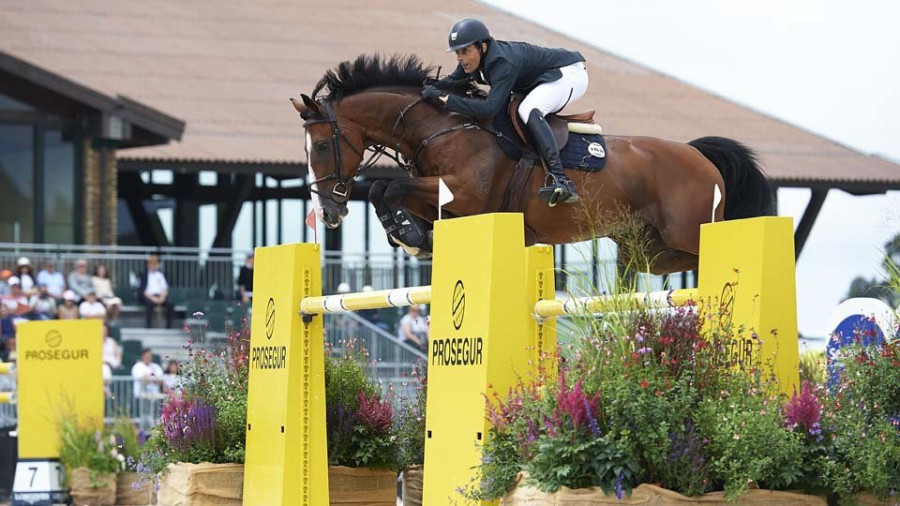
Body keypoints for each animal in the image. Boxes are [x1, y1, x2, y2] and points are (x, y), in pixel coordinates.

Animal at [290, 53, 772, 274]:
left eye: (322, 147)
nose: (328, 214)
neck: (441, 126)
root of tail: (700, 156)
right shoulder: (445, 201)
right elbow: (385, 191)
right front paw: (413, 237)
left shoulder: (466, 195)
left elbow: (385, 187)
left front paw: (408, 237)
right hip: (648, 248)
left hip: (687, 230)